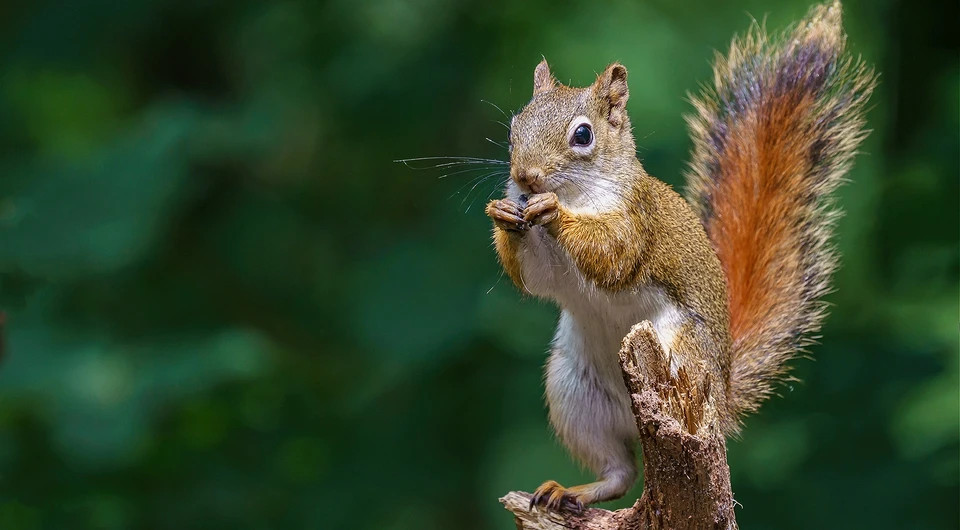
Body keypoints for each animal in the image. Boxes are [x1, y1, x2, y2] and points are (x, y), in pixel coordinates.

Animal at [484, 1, 872, 512]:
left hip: (681, 352)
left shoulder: (637, 221)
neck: (579, 194)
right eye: (514, 127)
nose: (525, 178)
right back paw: (571, 490)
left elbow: (612, 254)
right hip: (575, 391)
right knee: (620, 471)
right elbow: (536, 278)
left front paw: (553, 212)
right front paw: (504, 215)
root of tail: (723, 398)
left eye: (582, 135)